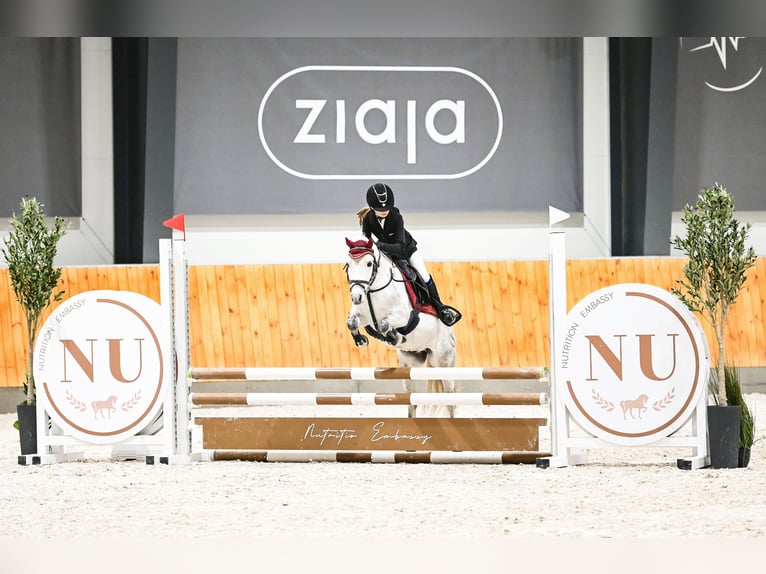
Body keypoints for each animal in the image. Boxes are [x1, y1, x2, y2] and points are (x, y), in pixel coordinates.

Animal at [344, 237, 457, 418]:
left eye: (369, 263)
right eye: (348, 265)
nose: (356, 297)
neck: (372, 290)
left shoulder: (404, 316)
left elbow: (384, 324)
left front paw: (395, 337)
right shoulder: (362, 317)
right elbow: (352, 322)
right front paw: (361, 340)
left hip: (444, 362)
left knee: (450, 400)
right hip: (410, 364)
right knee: (412, 403)